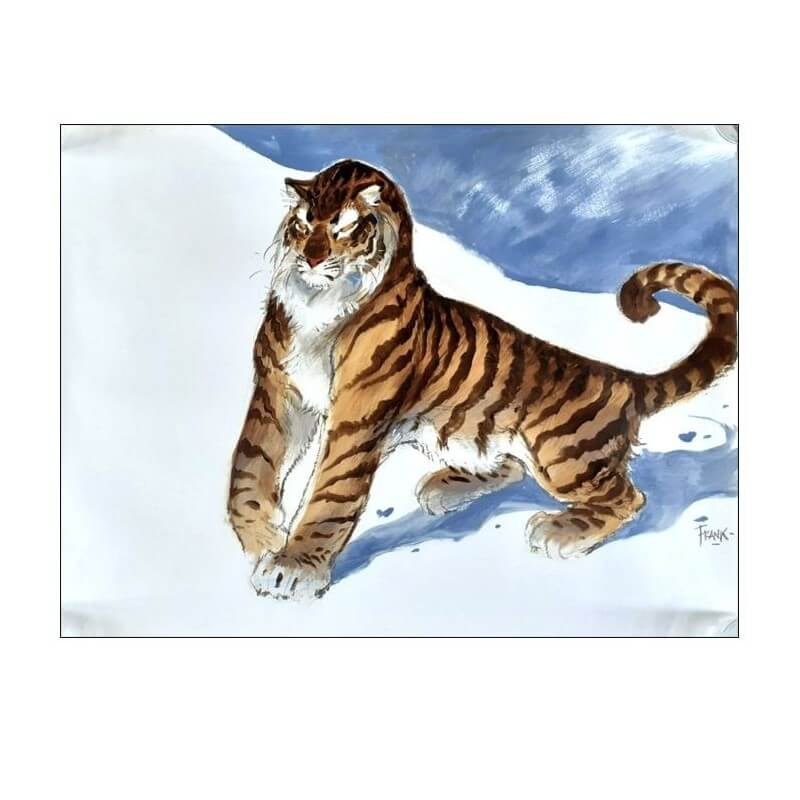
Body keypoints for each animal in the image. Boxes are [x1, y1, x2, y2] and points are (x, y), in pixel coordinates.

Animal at [227, 159, 738, 600]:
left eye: (345, 227)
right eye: (303, 222)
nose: (311, 260)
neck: (319, 305)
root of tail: (621, 377)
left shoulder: (357, 415)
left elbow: (331, 493)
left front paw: (293, 568)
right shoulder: (277, 392)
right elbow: (250, 468)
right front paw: (260, 539)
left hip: (562, 454)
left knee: (629, 498)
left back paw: (557, 531)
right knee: (513, 467)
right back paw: (442, 487)